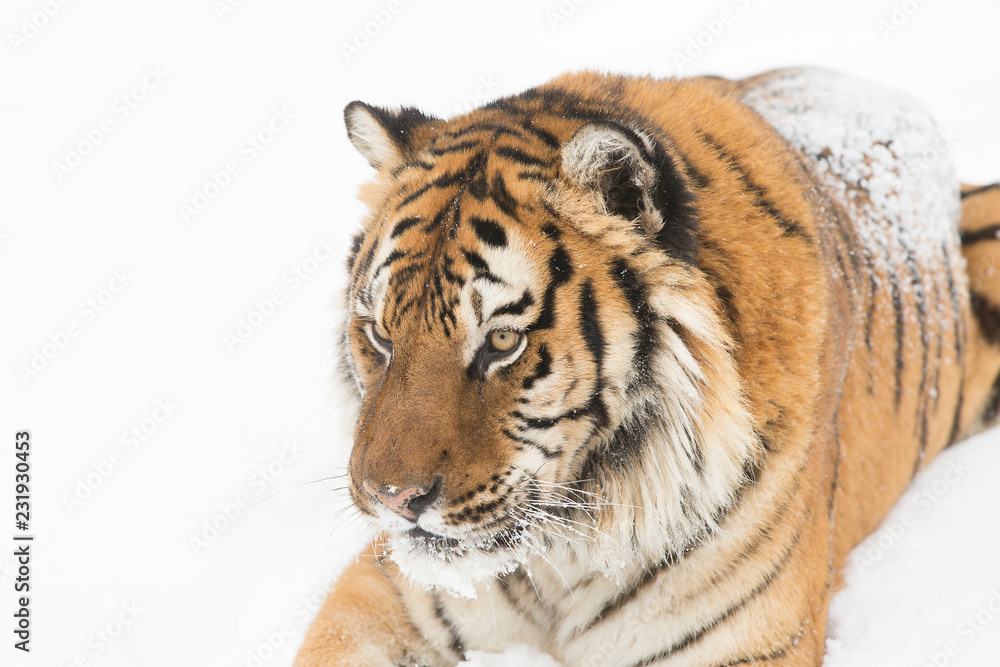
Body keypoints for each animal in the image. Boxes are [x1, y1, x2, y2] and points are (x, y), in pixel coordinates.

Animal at [294, 67, 1000, 666]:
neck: (564, 554)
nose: (391, 500)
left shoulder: (747, 640)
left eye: (502, 341)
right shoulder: (385, 592)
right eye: (379, 335)